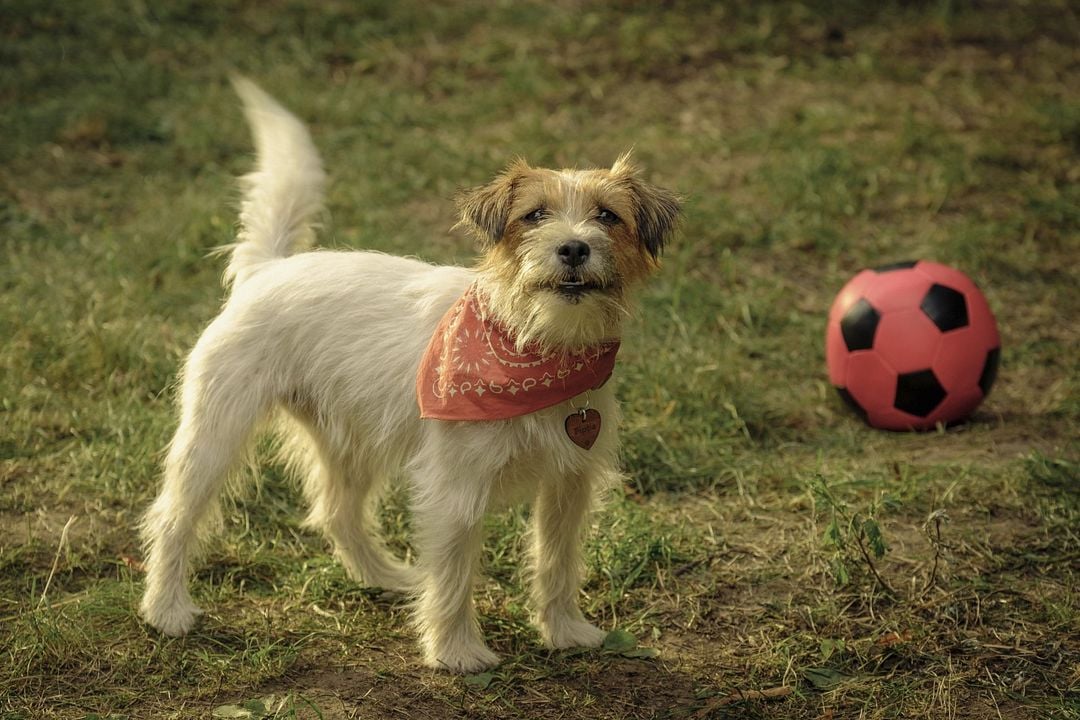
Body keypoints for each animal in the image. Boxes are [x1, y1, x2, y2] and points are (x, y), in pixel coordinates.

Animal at [139, 76, 678, 673]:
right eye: (535, 215)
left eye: (607, 216)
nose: (574, 248)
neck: (536, 342)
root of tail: (270, 268)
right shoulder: (454, 489)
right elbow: (454, 576)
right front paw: (456, 652)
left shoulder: (569, 483)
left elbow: (556, 562)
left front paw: (565, 631)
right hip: (216, 435)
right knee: (172, 516)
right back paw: (165, 609)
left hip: (349, 439)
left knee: (336, 512)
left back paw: (386, 577)